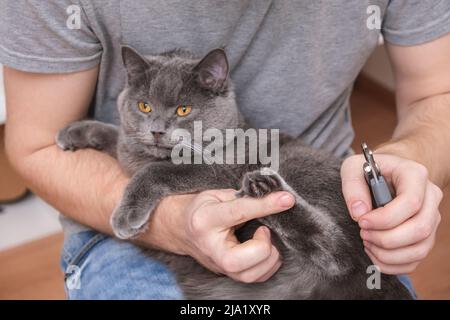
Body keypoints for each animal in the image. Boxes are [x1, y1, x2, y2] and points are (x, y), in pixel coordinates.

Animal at [55, 47, 412, 300]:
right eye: (144, 106)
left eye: (183, 109)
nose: (156, 130)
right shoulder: (130, 149)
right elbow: (116, 135)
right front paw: (74, 132)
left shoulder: (223, 170)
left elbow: (158, 170)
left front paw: (126, 215)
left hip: (301, 167)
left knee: (342, 256)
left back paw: (264, 186)